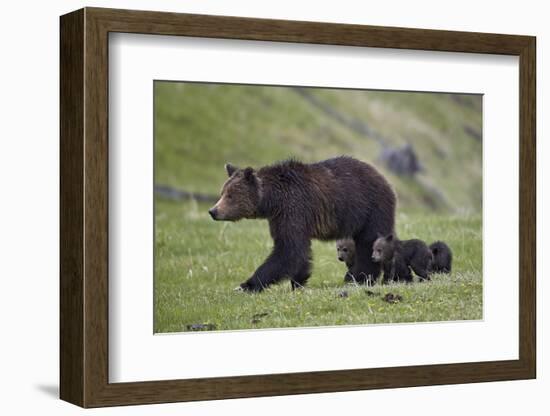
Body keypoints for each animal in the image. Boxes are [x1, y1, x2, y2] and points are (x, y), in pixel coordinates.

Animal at [210, 157, 396, 292]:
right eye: (222, 192)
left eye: (230, 195)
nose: (213, 211)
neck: (272, 201)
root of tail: (384, 178)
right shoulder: (279, 217)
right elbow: (297, 252)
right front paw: (298, 282)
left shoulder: (294, 208)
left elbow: (288, 251)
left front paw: (245, 285)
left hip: (370, 208)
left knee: (368, 243)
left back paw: (361, 277)